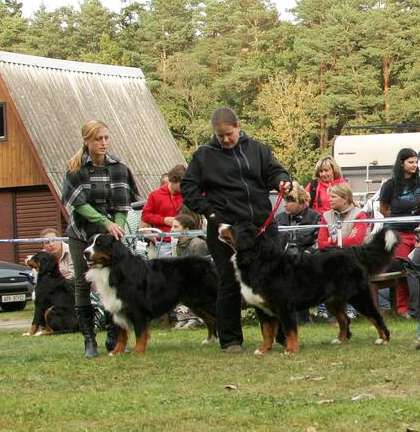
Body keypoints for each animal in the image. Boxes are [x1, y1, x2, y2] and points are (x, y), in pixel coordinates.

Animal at [83, 235, 218, 356]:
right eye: (89, 243)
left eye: (100, 244)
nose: (85, 253)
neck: (113, 269)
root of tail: (208, 262)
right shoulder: (118, 307)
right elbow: (121, 335)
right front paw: (116, 352)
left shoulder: (137, 309)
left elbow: (140, 333)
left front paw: (138, 351)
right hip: (196, 303)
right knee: (211, 320)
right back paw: (210, 340)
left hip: (207, 300)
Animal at [220, 223, 400, 354]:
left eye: (234, 227)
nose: (220, 224)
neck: (257, 261)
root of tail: (351, 251)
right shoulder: (262, 309)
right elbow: (267, 332)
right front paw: (264, 350)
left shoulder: (284, 306)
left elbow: (290, 330)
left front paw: (291, 350)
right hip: (332, 300)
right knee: (344, 319)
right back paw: (340, 339)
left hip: (358, 297)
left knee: (376, 316)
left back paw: (383, 339)